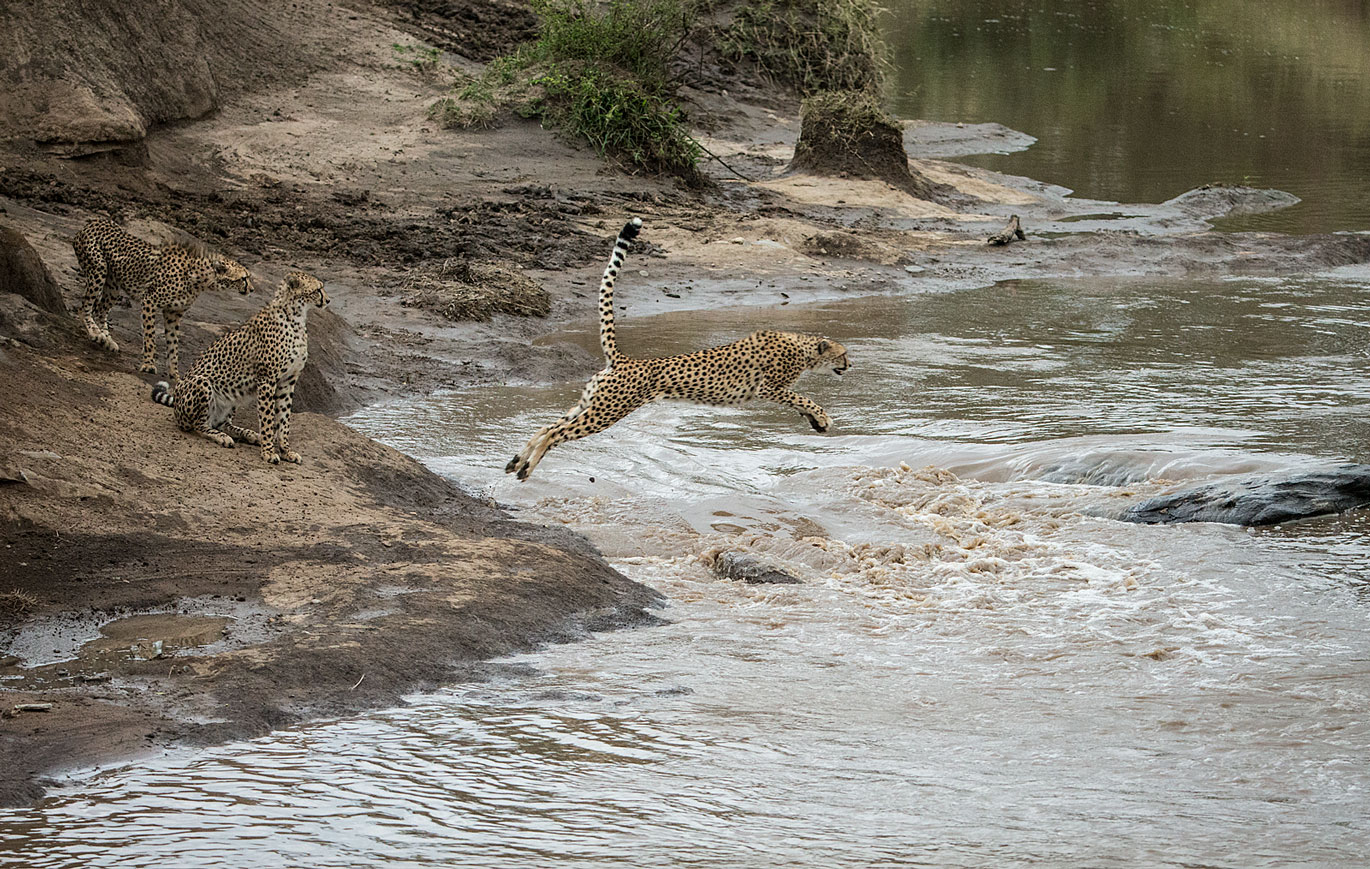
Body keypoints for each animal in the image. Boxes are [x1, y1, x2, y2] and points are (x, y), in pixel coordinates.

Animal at [72, 215, 254, 375]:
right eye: (243, 278)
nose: (251, 290)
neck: (200, 278)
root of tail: (93, 222)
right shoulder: (149, 301)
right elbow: (150, 337)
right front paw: (148, 365)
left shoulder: (173, 313)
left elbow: (173, 346)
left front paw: (175, 375)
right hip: (98, 270)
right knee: (84, 307)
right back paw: (95, 334)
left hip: (113, 287)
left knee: (100, 310)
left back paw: (107, 339)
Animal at [152, 271, 328, 463]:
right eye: (317, 290)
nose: (327, 301)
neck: (296, 317)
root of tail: (176, 405)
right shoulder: (267, 380)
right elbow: (267, 419)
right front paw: (268, 451)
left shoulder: (287, 382)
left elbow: (284, 420)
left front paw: (285, 450)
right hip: (201, 382)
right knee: (198, 425)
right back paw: (222, 437)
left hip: (232, 394)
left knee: (223, 424)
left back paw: (249, 434)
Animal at [506, 213, 843, 476]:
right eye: (844, 355)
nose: (849, 364)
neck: (804, 346)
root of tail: (624, 360)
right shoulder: (770, 388)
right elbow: (805, 399)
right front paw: (823, 417)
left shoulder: (776, 390)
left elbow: (800, 403)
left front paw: (817, 423)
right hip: (606, 412)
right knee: (556, 432)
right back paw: (527, 467)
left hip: (589, 402)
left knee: (546, 427)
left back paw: (517, 462)